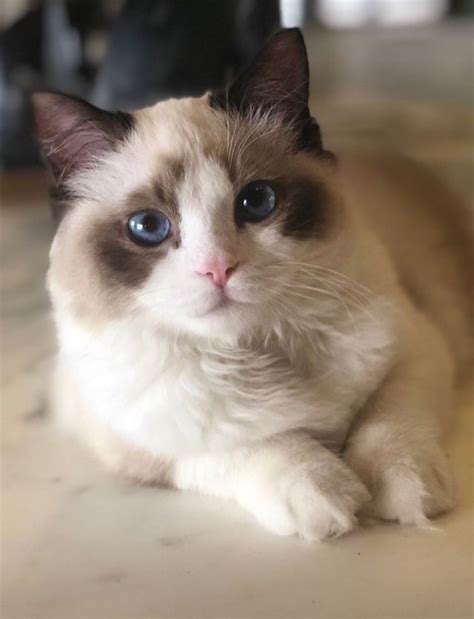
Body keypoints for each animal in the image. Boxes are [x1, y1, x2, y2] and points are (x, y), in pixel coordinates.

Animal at [33, 30, 470, 544]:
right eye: (148, 227)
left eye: (257, 201)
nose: (218, 269)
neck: (258, 349)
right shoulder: (145, 441)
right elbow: (254, 446)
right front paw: (327, 500)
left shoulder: (416, 352)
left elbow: (389, 423)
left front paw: (406, 495)